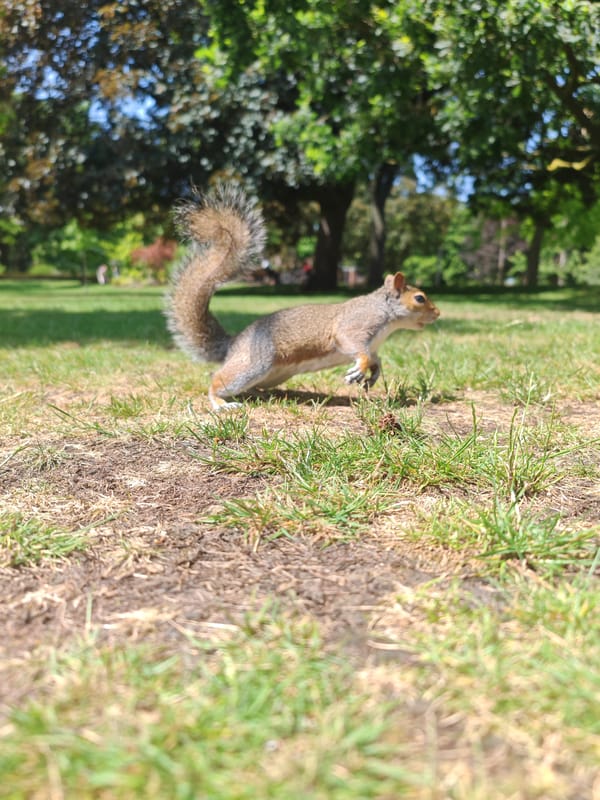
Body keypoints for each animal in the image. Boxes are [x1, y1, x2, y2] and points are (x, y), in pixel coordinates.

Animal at [165, 184, 440, 410]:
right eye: (420, 298)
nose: (438, 313)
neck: (385, 316)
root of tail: (233, 345)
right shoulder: (355, 326)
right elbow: (353, 345)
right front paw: (361, 368)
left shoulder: (373, 345)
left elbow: (376, 358)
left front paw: (373, 373)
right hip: (255, 363)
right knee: (217, 379)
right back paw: (221, 402)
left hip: (273, 374)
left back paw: (260, 395)